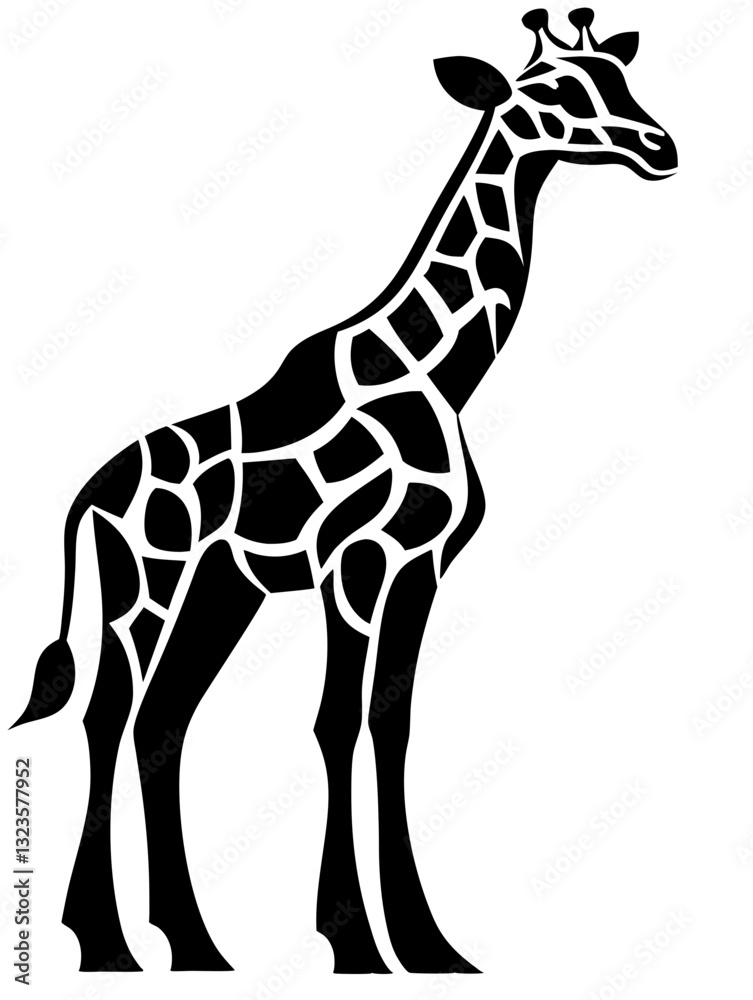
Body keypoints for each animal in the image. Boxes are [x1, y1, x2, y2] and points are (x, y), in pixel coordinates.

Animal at [12, 8, 676, 976]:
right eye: (551, 91)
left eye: (619, 79)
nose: (660, 146)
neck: (438, 371)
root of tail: (88, 497)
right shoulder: (353, 564)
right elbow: (336, 722)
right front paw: (353, 939)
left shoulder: (419, 566)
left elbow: (391, 726)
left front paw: (427, 944)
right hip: (146, 581)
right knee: (108, 714)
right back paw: (105, 943)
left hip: (224, 590)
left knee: (162, 721)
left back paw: (195, 944)